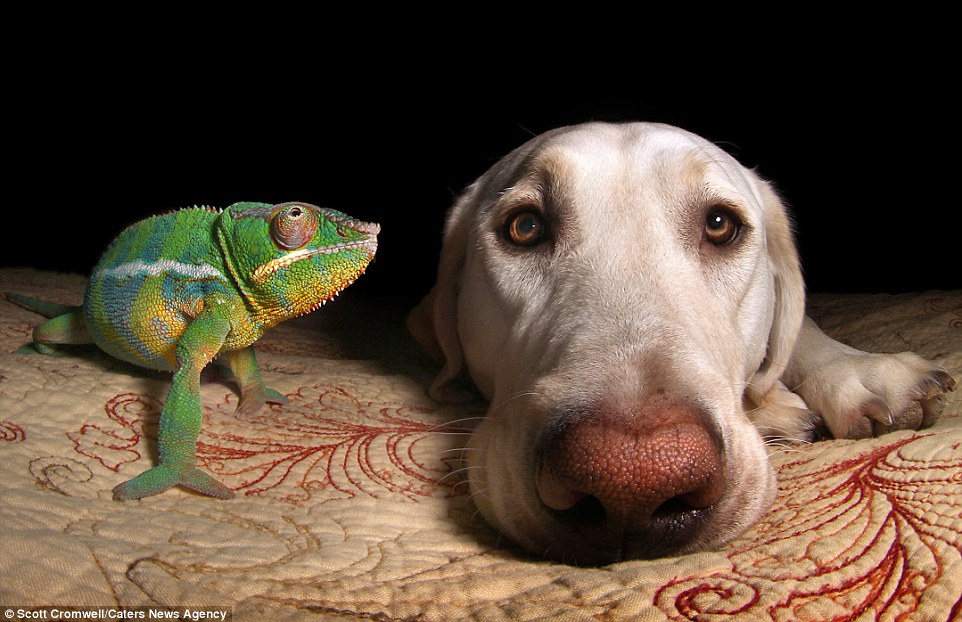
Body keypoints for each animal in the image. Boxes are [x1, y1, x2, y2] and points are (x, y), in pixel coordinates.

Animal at [404, 122, 952, 564]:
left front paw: (860, 370)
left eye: (720, 225)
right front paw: (779, 405)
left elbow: (802, 332)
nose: (632, 482)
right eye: (525, 227)